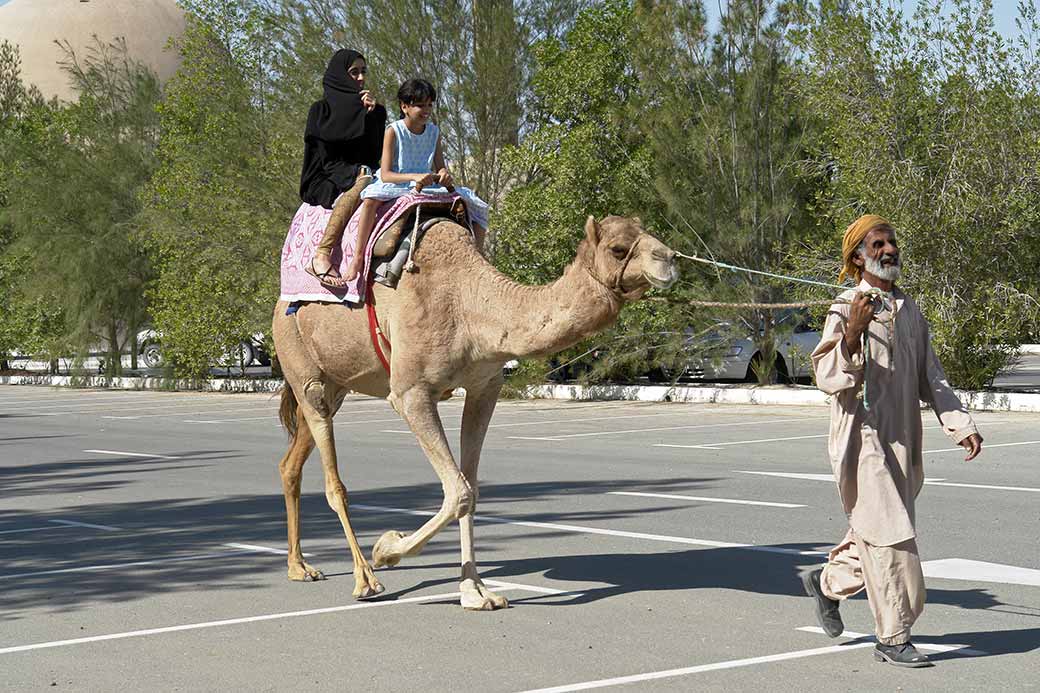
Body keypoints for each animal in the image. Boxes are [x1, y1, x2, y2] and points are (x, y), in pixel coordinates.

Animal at [272, 214, 678, 610]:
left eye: (646, 230)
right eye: (618, 248)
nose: (670, 258)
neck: (469, 304)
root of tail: (278, 306)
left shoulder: (485, 387)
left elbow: (471, 488)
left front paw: (476, 592)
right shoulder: (410, 393)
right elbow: (459, 492)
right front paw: (386, 548)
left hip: (335, 385)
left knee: (291, 463)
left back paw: (299, 566)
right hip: (303, 372)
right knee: (333, 481)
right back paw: (365, 578)